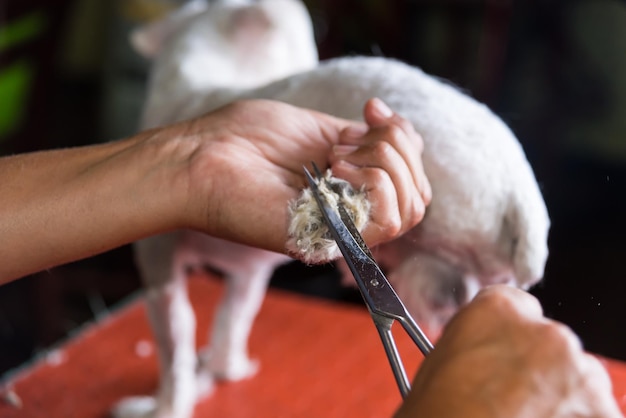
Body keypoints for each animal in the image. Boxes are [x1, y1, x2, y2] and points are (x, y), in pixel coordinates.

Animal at [111, 1, 544, 416]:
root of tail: (520, 194)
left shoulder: (158, 267)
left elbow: (175, 342)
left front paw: (165, 407)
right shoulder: (248, 276)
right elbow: (234, 317)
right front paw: (226, 369)